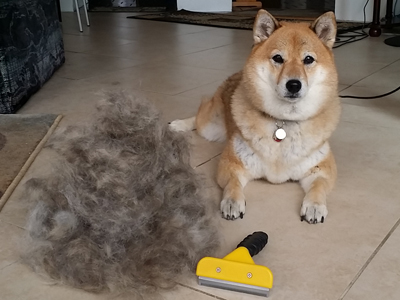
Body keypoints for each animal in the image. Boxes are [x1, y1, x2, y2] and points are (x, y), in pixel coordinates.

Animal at [169, 9, 340, 224]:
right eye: (278, 58)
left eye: (308, 59)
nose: (294, 84)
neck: (284, 122)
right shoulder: (231, 164)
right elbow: (232, 184)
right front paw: (232, 202)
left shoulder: (322, 169)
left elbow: (319, 186)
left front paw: (315, 206)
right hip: (210, 126)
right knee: (198, 118)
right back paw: (178, 125)